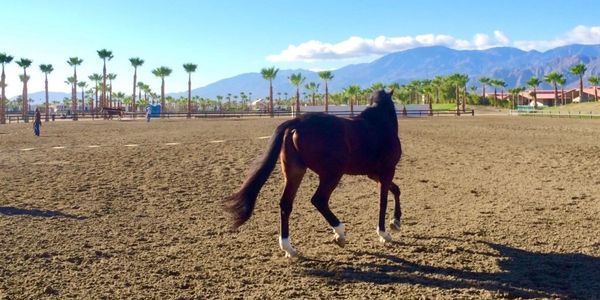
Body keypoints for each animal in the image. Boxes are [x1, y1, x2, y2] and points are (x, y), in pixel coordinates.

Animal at [225, 89, 404, 258]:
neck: (379, 124)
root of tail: (296, 122)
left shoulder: (374, 174)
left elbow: (396, 190)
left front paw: (396, 222)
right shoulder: (387, 171)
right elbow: (383, 201)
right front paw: (384, 234)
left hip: (295, 172)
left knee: (286, 204)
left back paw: (289, 248)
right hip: (332, 174)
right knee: (319, 200)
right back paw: (340, 234)